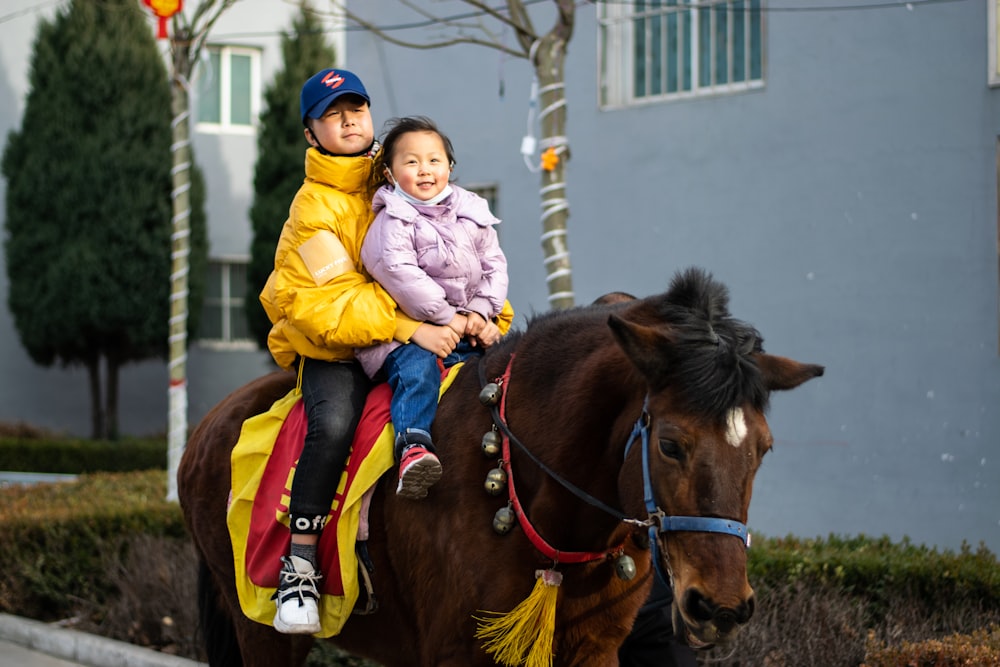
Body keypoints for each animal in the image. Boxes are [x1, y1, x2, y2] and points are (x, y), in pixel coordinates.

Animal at [178, 268, 820, 667]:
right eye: (669, 444)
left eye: (762, 449)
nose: (721, 606)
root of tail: (204, 430)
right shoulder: (455, 649)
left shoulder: (595, 648)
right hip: (260, 627)